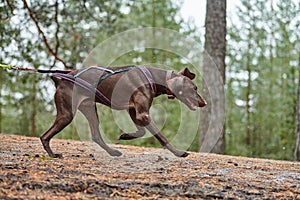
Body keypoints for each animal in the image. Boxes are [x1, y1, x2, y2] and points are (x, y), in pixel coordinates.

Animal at [39, 66, 206, 159]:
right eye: (194, 88)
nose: (204, 103)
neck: (154, 77)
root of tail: (59, 79)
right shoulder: (142, 114)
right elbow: (161, 136)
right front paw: (178, 152)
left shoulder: (134, 111)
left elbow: (141, 131)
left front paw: (125, 136)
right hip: (67, 114)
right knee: (44, 136)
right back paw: (53, 155)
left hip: (90, 109)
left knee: (96, 136)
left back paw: (113, 152)